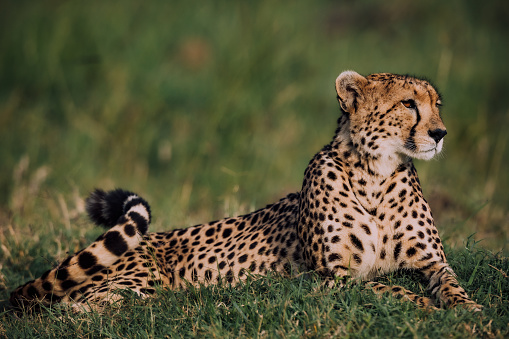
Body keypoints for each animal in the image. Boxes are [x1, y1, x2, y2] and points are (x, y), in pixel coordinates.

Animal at [10, 71, 480, 314]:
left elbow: (451, 283)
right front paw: (427, 309)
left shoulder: (431, 262)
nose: (440, 134)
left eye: (437, 104)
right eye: (408, 103)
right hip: (136, 281)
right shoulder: (333, 277)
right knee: (79, 308)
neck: (377, 175)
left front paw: (467, 309)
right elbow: (388, 289)